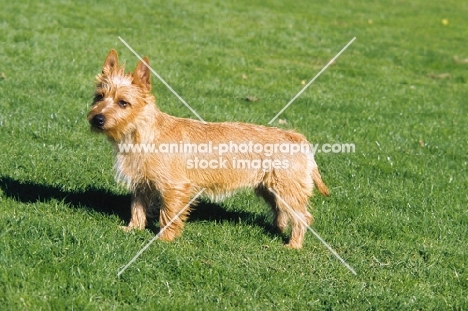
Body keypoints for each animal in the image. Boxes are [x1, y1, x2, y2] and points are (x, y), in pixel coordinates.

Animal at [88, 50, 330, 249]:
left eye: (123, 103)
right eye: (99, 96)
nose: (97, 119)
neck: (142, 133)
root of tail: (297, 137)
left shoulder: (175, 187)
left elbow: (169, 214)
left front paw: (165, 239)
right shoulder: (141, 183)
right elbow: (137, 207)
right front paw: (132, 229)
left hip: (287, 189)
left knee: (302, 217)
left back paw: (293, 245)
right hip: (270, 189)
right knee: (281, 212)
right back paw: (277, 230)